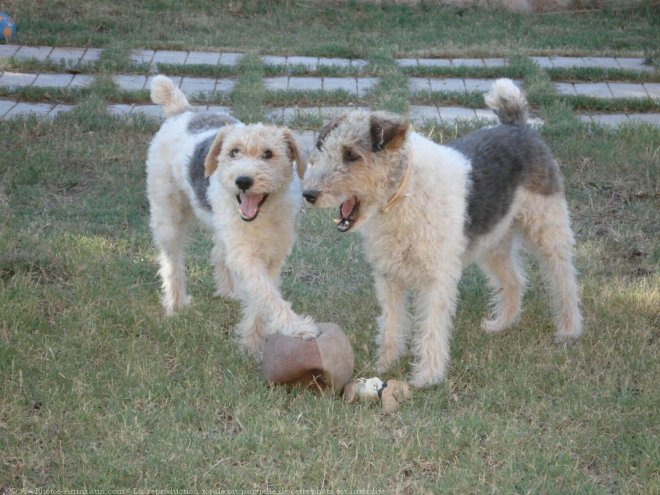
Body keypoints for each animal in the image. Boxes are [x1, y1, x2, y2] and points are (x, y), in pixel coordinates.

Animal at [147, 75, 318, 354]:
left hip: (220, 226)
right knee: (171, 262)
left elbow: (262, 296)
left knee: (218, 253)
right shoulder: (246, 256)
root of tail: (182, 110)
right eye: (233, 152)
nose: (243, 181)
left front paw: (251, 341)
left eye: (268, 154)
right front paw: (297, 327)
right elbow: (267, 294)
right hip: (167, 214)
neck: (263, 216)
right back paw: (176, 304)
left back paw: (227, 291)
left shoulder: (273, 256)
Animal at [302, 78, 584, 388]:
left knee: (565, 281)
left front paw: (427, 377)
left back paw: (569, 331)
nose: (308, 194)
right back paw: (500, 324)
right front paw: (385, 364)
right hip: (495, 241)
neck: (404, 193)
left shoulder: (437, 278)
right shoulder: (389, 276)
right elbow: (391, 324)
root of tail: (517, 125)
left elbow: (431, 328)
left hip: (548, 230)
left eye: (352, 155)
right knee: (514, 281)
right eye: (325, 150)